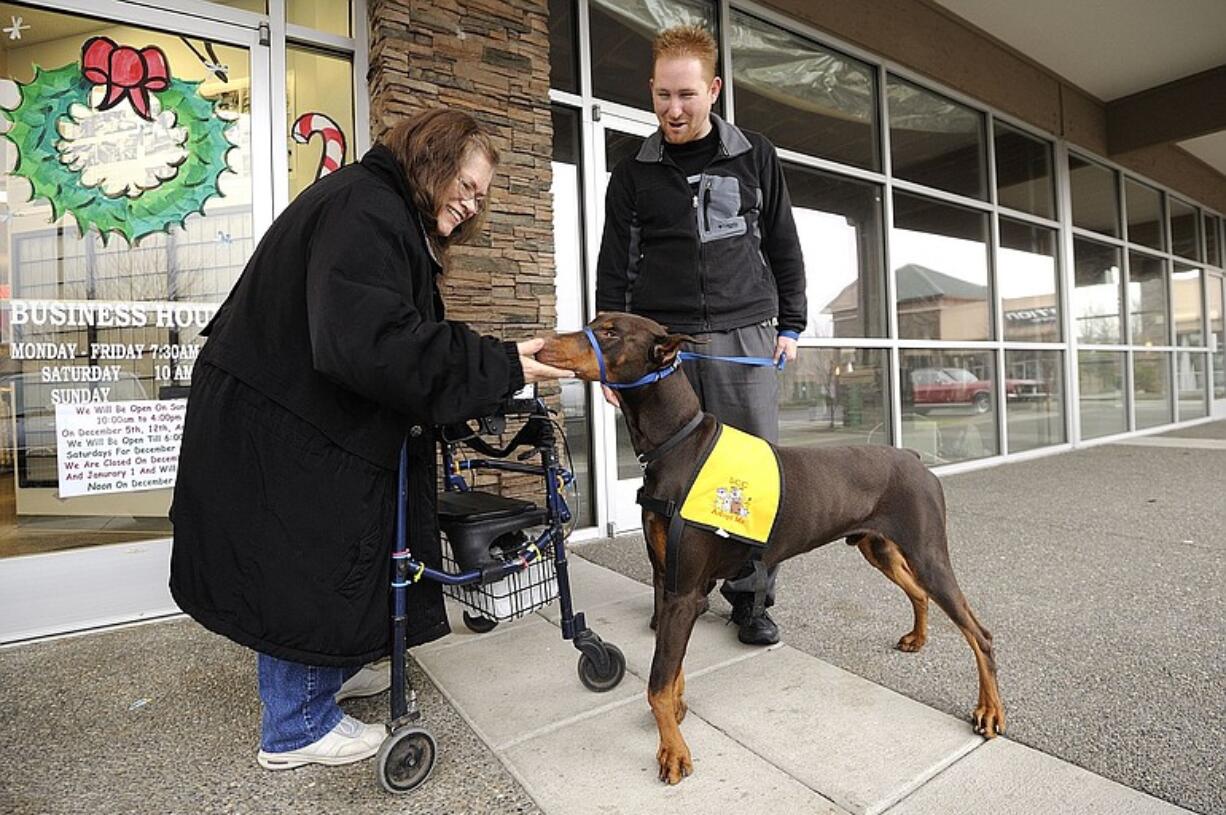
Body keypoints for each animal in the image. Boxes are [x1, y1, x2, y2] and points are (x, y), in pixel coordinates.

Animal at [544, 311, 1005, 784]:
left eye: (610, 332)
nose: (541, 345)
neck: (679, 443)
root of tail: (914, 458)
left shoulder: (685, 590)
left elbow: (657, 683)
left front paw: (672, 751)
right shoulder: (667, 580)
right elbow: (669, 669)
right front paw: (677, 710)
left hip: (927, 553)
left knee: (980, 634)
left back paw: (989, 711)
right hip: (880, 549)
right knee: (918, 594)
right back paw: (917, 638)